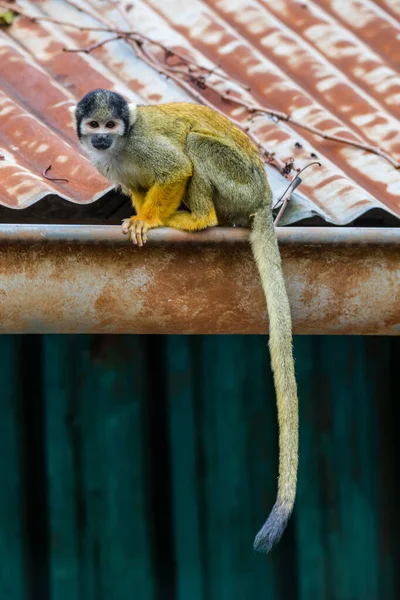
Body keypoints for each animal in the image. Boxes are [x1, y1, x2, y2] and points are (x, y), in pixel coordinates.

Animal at [70, 89, 298, 552]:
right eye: (94, 127)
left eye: (112, 126)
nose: (101, 139)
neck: (119, 149)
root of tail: (265, 200)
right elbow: (139, 187)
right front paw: (142, 214)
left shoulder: (141, 144)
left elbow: (177, 167)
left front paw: (149, 220)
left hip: (240, 184)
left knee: (195, 145)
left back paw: (199, 219)